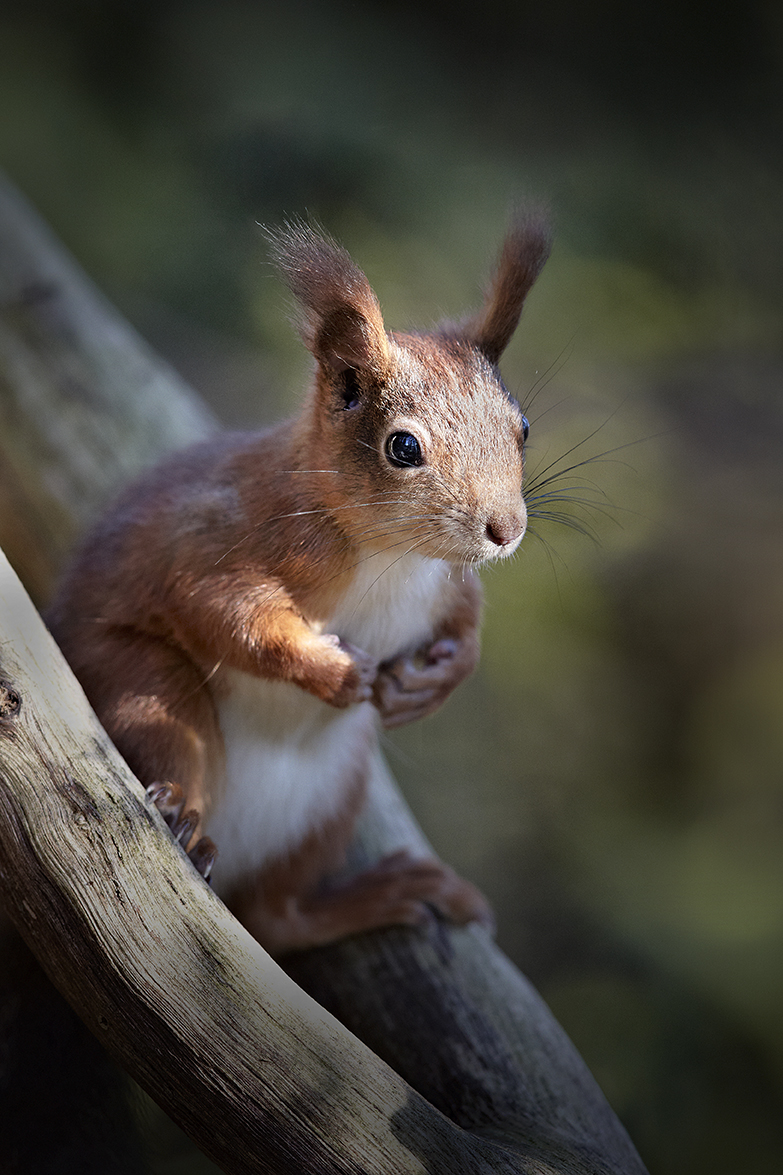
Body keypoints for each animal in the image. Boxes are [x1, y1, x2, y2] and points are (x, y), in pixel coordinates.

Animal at [45, 216, 545, 958]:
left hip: (332, 798)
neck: (397, 558)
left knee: (278, 916)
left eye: (523, 429)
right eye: (403, 448)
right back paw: (187, 818)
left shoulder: (448, 585)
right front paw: (333, 671)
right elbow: (228, 612)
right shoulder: (227, 541)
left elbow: (467, 627)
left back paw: (376, 896)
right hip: (141, 687)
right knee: (171, 738)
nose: (505, 530)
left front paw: (435, 681)